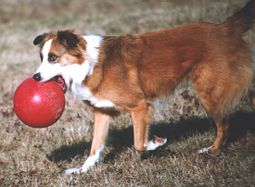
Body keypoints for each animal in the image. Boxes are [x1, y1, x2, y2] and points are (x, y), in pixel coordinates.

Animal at [32, 0, 254, 175]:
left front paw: (156, 144)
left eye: (53, 58)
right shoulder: (102, 112)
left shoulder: (139, 106)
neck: (89, 65)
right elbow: (95, 148)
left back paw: (212, 150)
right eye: (42, 58)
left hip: (209, 93)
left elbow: (138, 144)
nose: (35, 77)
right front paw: (81, 170)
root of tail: (224, 28)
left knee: (224, 125)